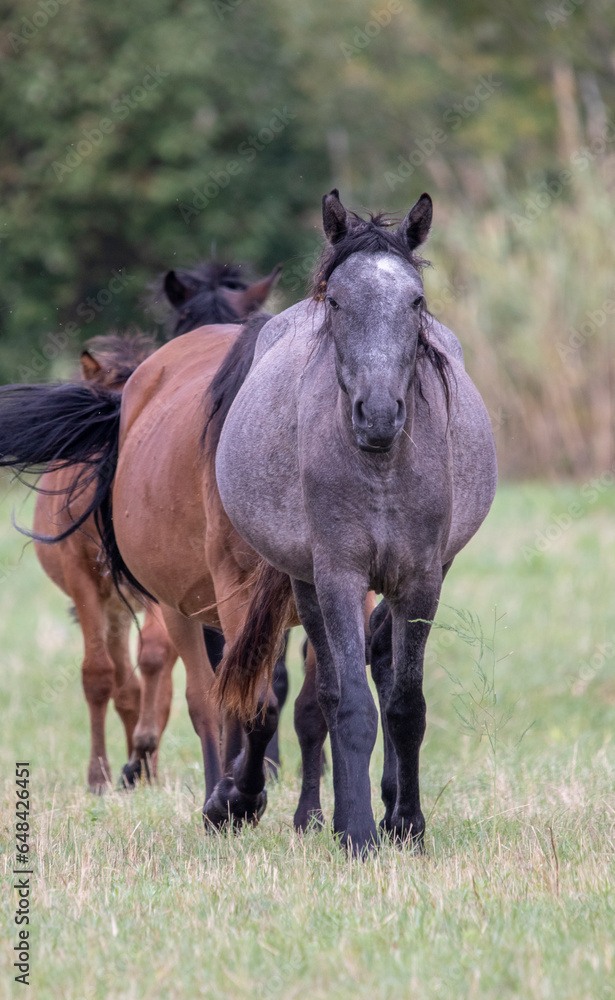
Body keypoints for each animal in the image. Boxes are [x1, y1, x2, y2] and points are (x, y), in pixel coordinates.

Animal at [213, 191, 498, 853]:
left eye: (415, 300)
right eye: (338, 300)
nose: (379, 413)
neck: (381, 467)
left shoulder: (421, 578)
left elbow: (406, 706)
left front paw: (408, 823)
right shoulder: (339, 576)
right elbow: (351, 707)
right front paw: (359, 834)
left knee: (386, 665)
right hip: (306, 583)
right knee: (330, 691)